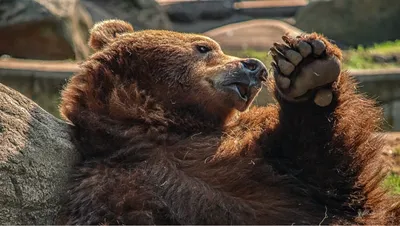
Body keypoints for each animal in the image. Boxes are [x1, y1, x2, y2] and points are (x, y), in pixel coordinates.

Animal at [59, 19, 400, 224]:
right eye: (203, 47)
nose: (255, 66)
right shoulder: (117, 187)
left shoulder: (261, 157)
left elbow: (329, 175)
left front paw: (307, 70)